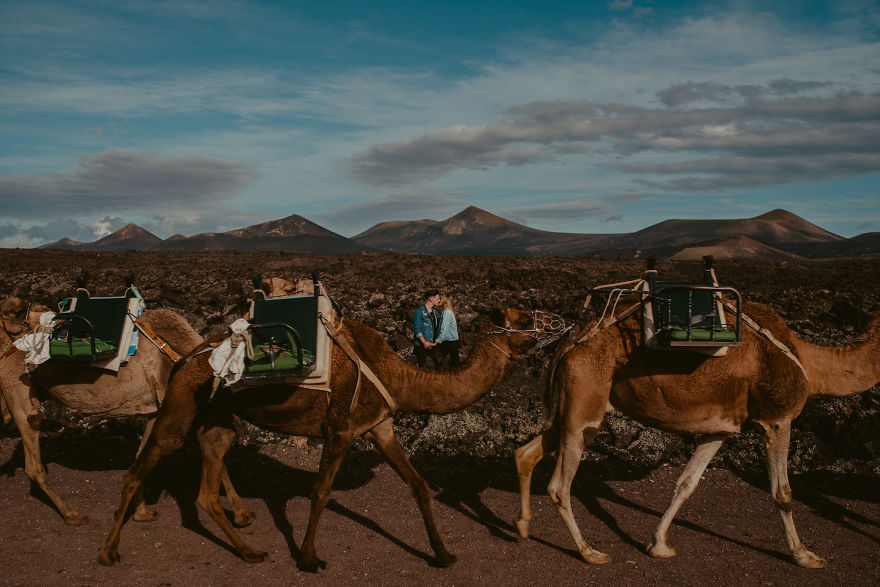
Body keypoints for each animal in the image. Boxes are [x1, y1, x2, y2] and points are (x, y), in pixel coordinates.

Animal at [0, 296, 251, 524]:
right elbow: (216, 457)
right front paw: (242, 515)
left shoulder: (155, 409)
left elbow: (141, 458)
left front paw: (141, 513)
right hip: (18, 388)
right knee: (33, 462)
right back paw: (72, 514)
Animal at [96, 306, 564, 572]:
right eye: (526, 320)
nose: (561, 323)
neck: (400, 376)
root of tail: (185, 358)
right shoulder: (340, 430)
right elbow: (320, 491)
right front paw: (308, 558)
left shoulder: (379, 426)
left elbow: (418, 484)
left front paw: (443, 554)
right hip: (181, 405)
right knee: (142, 465)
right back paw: (109, 552)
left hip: (217, 419)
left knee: (207, 487)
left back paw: (249, 552)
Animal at [516, 298, 880, 568]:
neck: (810, 363)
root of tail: (569, 345)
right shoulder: (778, 418)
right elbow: (784, 493)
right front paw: (805, 555)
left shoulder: (718, 428)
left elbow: (686, 483)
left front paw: (659, 544)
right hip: (583, 407)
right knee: (560, 486)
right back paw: (589, 552)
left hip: (573, 413)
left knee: (527, 453)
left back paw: (522, 526)